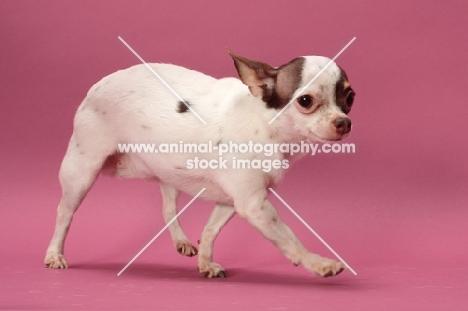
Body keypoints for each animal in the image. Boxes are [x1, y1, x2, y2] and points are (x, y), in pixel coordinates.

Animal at [45, 50, 356, 280]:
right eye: (305, 101)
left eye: (350, 98)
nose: (344, 122)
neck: (265, 124)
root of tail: (98, 84)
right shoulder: (254, 204)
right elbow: (291, 239)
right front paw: (319, 263)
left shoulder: (232, 201)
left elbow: (209, 231)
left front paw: (206, 263)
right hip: (81, 171)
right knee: (64, 213)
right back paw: (54, 254)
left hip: (169, 172)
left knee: (168, 207)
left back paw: (181, 241)